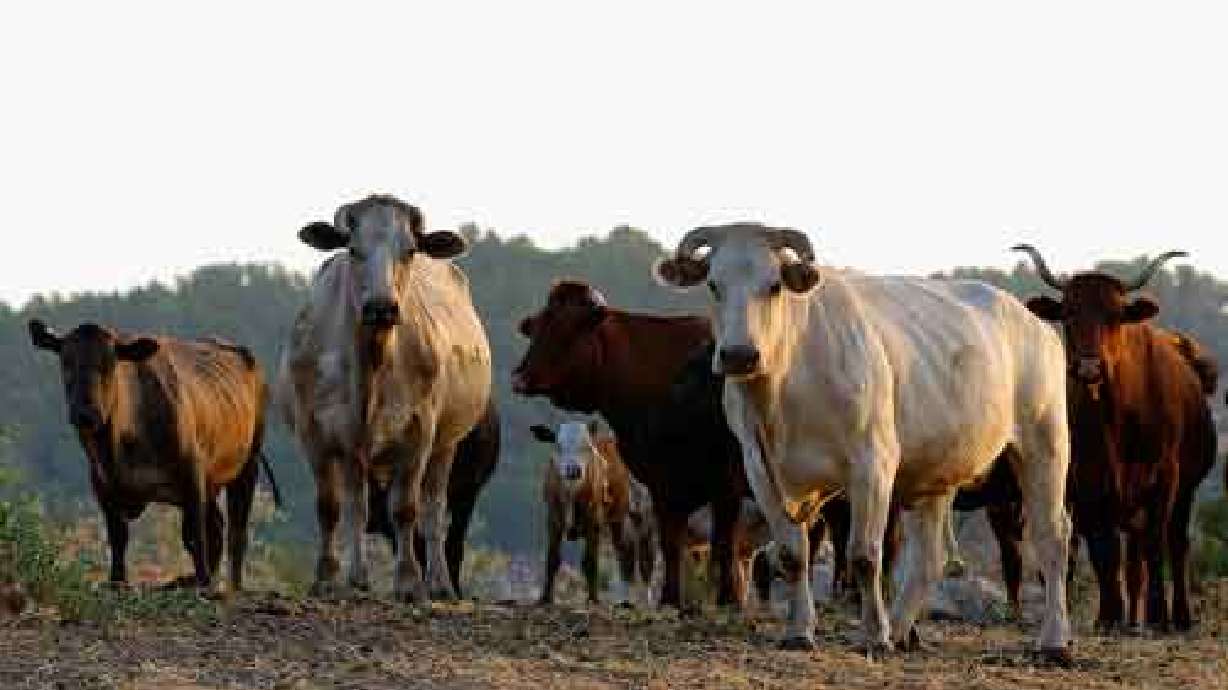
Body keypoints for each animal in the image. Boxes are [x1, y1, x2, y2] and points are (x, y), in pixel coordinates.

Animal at [28, 320, 277, 592]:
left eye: (110, 364)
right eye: (66, 362)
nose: (85, 414)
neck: (117, 451)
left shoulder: (191, 472)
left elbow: (193, 534)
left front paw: (203, 583)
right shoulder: (101, 482)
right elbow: (118, 534)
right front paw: (117, 581)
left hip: (248, 463)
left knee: (236, 529)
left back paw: (230, 585)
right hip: (211, 480)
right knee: (217, 525)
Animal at [278, 194, 493, 602]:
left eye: (409, 250)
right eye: (352, 249)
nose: (381, 306)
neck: (369, 371)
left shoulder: (418, 433)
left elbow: (406, 510)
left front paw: (408, 581)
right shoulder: (316, 433)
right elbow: (330, 507)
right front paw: (326, 577)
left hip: (447, 443)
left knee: (433, 510)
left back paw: (439, 583)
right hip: (354, 451)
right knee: (357, 506)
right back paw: (358, 576)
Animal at [530, 421, 653, 604]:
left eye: (587, 447)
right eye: (558, 445)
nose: (573, 469)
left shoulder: (594, 520)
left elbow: (590, 561)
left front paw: (593, 599)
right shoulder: (553, 517)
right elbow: (552, 558)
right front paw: (545, 597)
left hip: (643, 516)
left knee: (644, 559)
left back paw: (646, 600)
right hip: (619, 519)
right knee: (625, 551)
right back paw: (624, 600)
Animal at [655, 224, 1073, 660]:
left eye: (774, 286)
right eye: (713, 285)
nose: (739, 355)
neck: (784, 392)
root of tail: (1031, 318)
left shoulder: (873, 465)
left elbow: (864, 555)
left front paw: (874, 634)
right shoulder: (760, 469)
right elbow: (792, 555)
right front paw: (799, 631)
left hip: (1045, 443)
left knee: (1053, 537)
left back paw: (1054, 641)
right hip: (937, 469)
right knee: (929, 557)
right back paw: (903, 630)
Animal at [1013, 246, 1217, 632]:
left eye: (1115, 315)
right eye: (1069, 313)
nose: (1089, 367)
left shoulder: (1165, 478)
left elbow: (1156, 545)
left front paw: (1158, 615)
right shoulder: (1087, 483)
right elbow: (1104, 552)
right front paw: (1109, 614)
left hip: (1186, 490)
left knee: (1176, 544)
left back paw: (1180, 615)